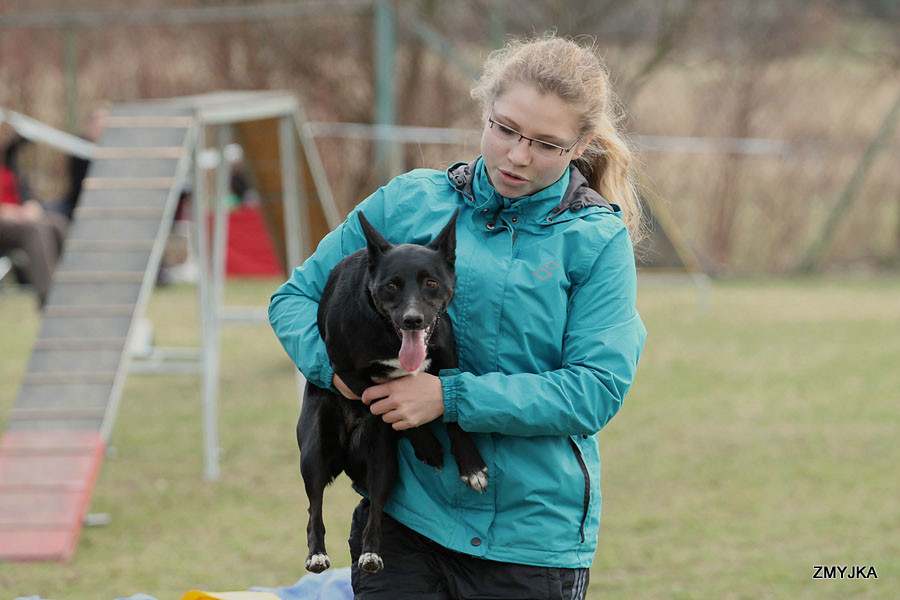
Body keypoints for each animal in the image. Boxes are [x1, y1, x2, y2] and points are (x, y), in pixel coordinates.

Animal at [297, 209, 488, 574]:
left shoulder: (448, 359)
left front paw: (471, 466)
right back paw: (316, 553)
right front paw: (428, 446)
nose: (413, 319)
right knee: (314, 506)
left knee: (375, 510)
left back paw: (371, 554)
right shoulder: (347, 373)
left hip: (383, 463)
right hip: (314, 450)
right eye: (391, 286)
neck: (387, 333)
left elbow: (453, 415)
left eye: (431, 283)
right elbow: (390, 407)